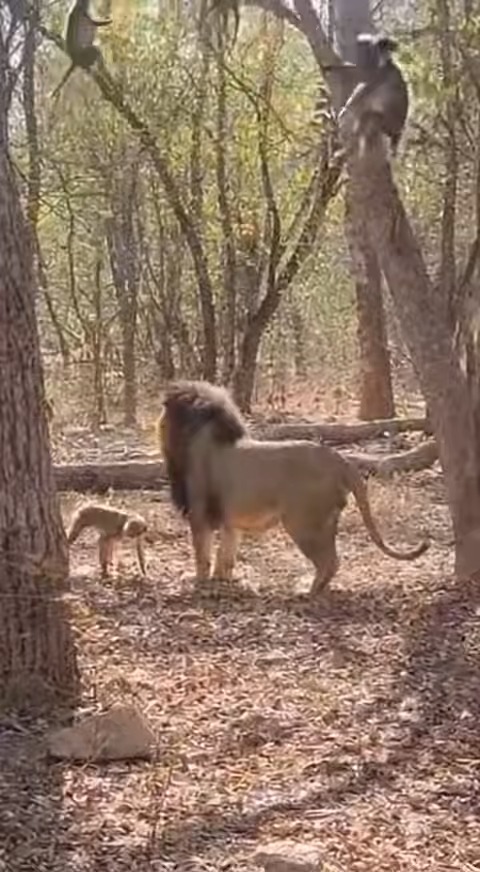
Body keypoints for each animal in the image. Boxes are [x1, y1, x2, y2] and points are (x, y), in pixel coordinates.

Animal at [158, 380, 429, 596]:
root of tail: (338, 458)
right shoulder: (230, 520)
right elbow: (226, 554)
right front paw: (221, 580)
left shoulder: (198, 514)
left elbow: (202, 554)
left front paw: (199, 583)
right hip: (323, 521)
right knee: (333, 560)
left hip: (302, 522)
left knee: (330, 561)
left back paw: (307, 591)